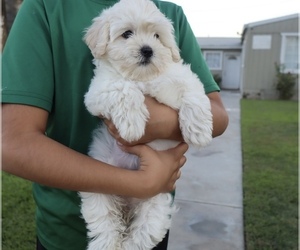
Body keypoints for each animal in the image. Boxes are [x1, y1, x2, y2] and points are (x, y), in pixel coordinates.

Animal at [79, 0, 213, 249]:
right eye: (127, 34)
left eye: (157, 36)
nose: (148, 50)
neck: (144, 77)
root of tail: (127, 203)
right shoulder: (98, 91)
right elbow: (123, 88)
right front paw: (133, 124)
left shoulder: (182, 78)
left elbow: (194, 94)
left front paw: (199, 132)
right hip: (98, 192)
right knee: (105, 224)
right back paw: (107, 242)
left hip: (156, 206)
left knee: (142, 235)